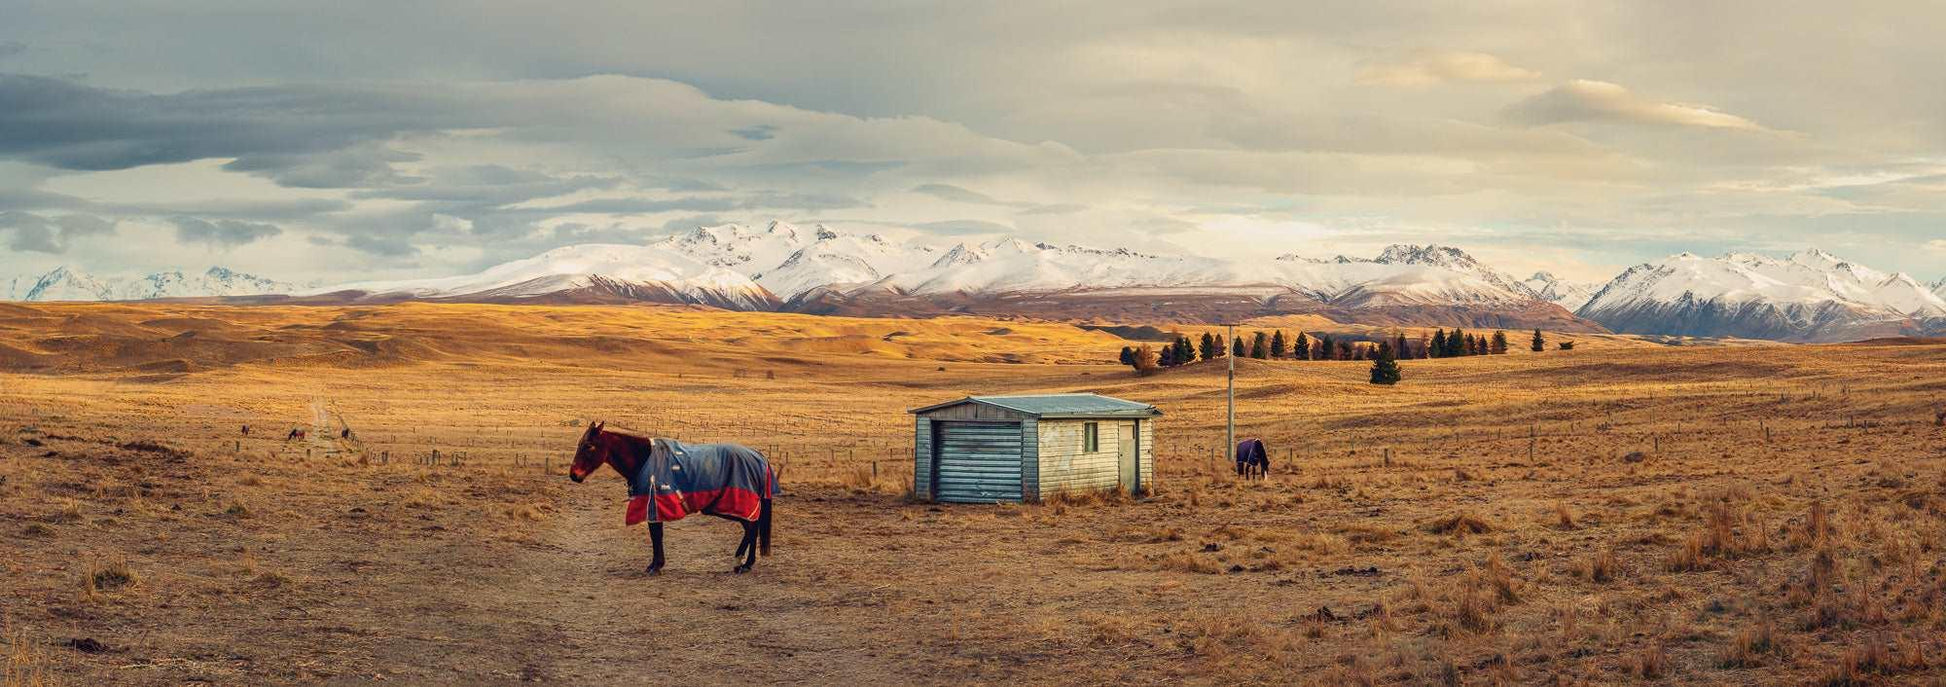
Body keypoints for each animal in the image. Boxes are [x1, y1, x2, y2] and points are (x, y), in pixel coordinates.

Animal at [564, 416, 774, 572]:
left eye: (589, 446)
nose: (574, 475)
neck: (644, 458)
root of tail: (758, 457)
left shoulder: (652, 504)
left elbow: (655, 534)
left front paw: (655, 566)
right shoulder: (654, 505)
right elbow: (657, 534)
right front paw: (657, 564)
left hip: (736, 504)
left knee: (751, 527)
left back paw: (741, 562)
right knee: (751, 527)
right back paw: (746, 563)